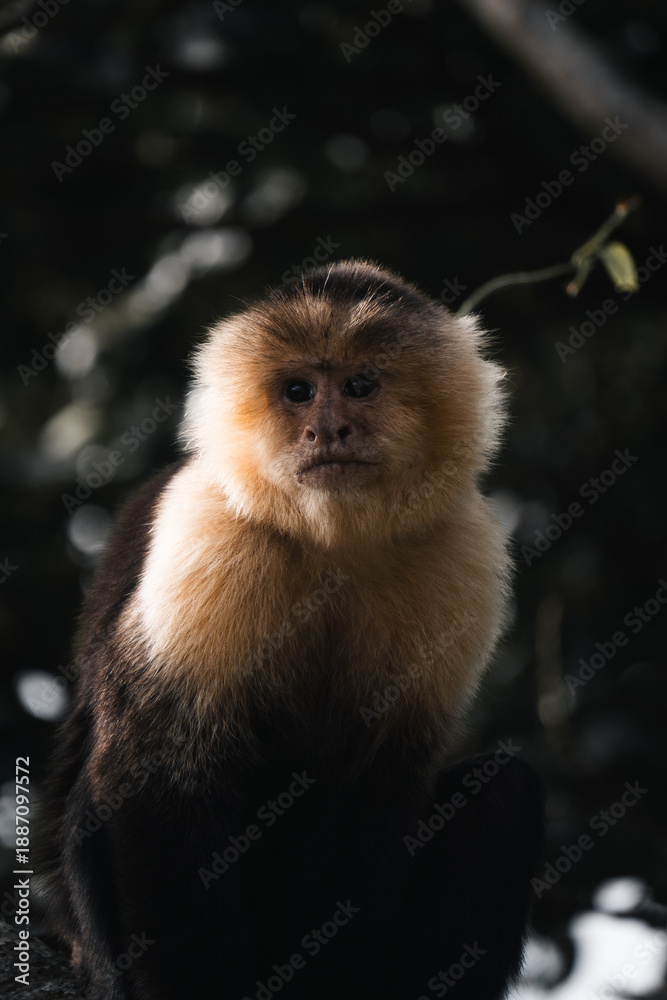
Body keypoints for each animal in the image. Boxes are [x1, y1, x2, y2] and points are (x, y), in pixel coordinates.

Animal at [41, 260, 543, 1000]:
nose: (328, 430)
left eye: (360, 385)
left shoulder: (463, 548)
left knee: (505, 791)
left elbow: (374, 798)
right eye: (299, 392)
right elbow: (157, 782)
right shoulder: (209, 523)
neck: (333, 538)